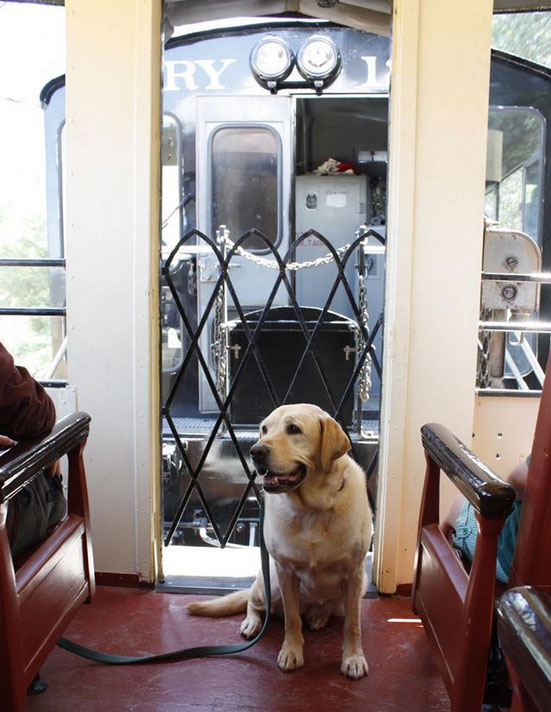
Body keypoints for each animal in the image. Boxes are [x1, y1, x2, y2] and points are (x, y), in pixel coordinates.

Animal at [188, 406, 374, 680]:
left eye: (294, 429)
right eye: (264, 429)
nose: (255, 451)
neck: (313, 509)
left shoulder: (354, 574)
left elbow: (353, 624)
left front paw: (353, 658)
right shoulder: (286, 572)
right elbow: (291, 618)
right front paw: (292, 652)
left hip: (355, 588)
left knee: (329, 608)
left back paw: (319, 616)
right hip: (270, 584)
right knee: (254, 603)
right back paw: (253, 622)